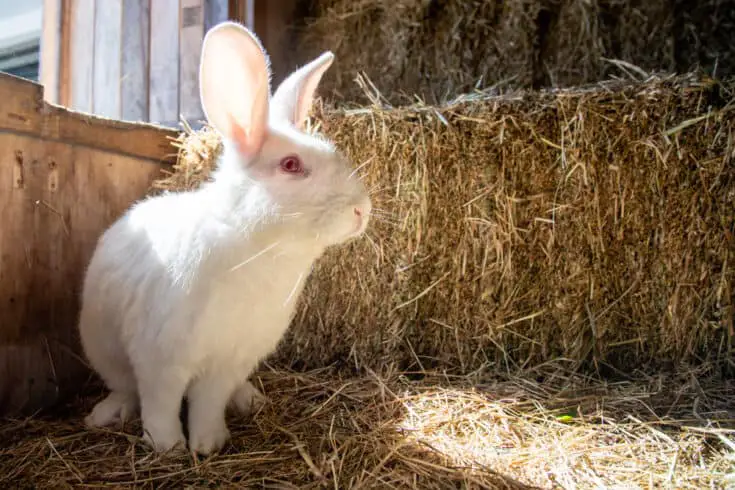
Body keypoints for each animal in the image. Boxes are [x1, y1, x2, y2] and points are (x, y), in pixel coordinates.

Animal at [77, 20, 370, 456]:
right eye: (291, 165)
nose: (362, 209)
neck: (256, 248)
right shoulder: (161, 358)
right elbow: (161, 403)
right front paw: (168, 447)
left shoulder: (227, 362)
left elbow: (208, 403)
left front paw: (208, 444)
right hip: (104, 349)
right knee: (126, 388)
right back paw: (106, 414)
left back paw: (249, 399)